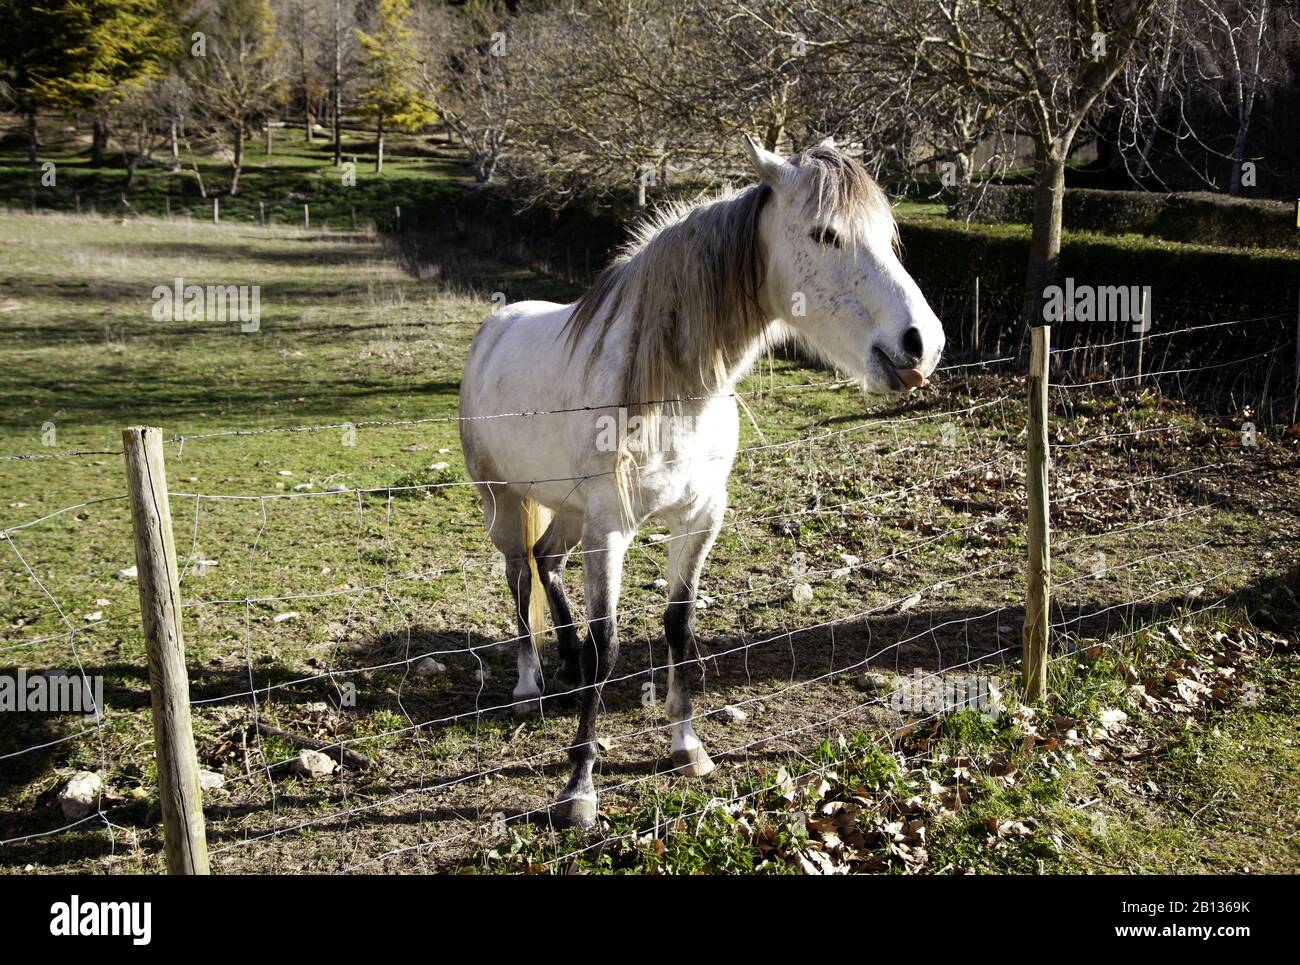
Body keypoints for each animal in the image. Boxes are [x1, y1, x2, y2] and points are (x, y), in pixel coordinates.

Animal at [458, 135, 945, 829]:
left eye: (888, 234)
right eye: (825, 234)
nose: (922, 345)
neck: (672, 389)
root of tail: (494, 329)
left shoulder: (697, 520)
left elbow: (678, 627)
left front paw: (687, 745)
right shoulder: (610, 531)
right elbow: (611, 645)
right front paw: (579, 788)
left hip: (568, 509)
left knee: (547, 562)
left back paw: (567, 660)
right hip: (504, 501)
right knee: (519, 572)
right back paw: (530, 684)